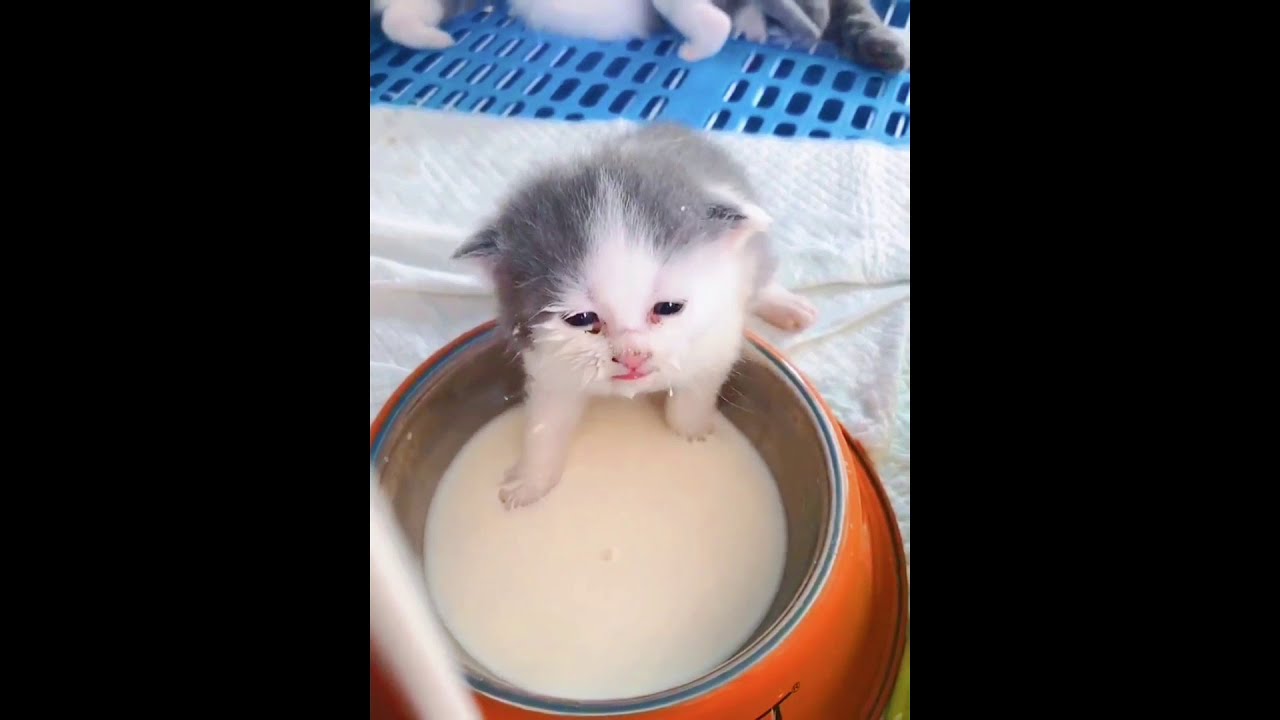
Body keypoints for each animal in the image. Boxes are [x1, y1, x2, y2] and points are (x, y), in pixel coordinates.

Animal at [454, 124, 816, 509]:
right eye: (582, 319)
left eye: (668, 308)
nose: (632, 357)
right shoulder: (550, 366)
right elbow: (545, 424)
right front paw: (530, 480)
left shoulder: (716, 339)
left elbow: (694, 392)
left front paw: (692, 431)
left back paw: (786, 306)